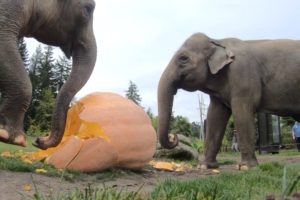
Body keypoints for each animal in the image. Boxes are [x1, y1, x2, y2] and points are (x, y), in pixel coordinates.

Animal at [157, 32, 300, 169]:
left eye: (183, 59)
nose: (173, 135)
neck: (218, 41)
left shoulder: (243, 76)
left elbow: (241, 113)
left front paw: (245, 167)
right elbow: (215, 116)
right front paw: (204, 166)